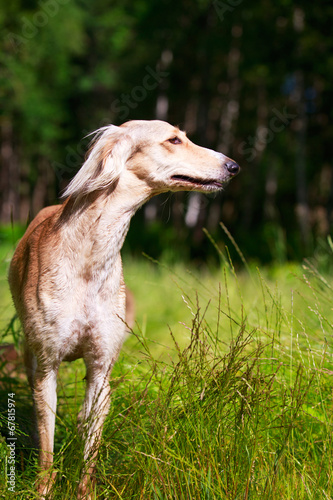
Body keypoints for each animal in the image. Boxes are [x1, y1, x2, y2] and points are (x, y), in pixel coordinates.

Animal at [8, 119, 239, 498]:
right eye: (174, 140)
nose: (233, 166)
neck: (89, 259)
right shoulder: (47, 366)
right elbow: (47, 446)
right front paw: (43, 488)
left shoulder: (102, 370)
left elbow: (90, 448)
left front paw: (85, 491)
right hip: (31, 355)